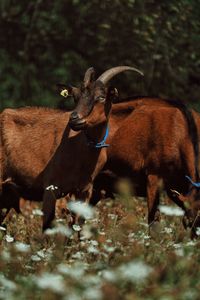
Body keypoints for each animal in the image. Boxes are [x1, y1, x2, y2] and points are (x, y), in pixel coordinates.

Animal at [0, 66, 142, 230]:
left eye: (101, 97)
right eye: (75, 97)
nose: (75, 119)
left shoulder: (84, 190)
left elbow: (78, 225)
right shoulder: (50, 188)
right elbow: (48, 225)